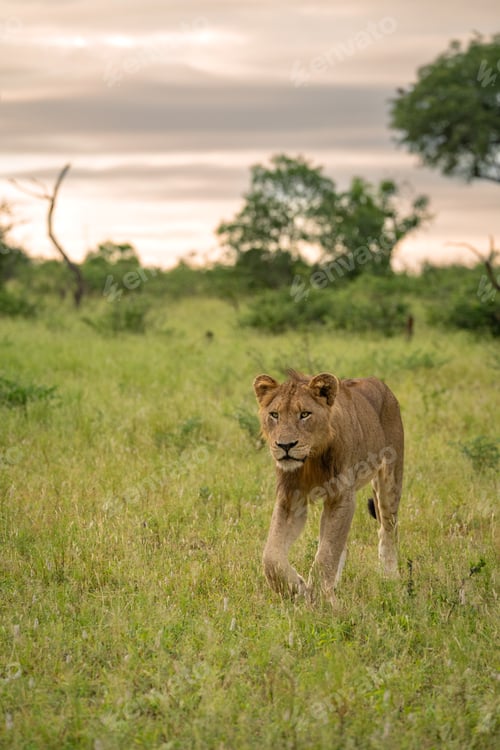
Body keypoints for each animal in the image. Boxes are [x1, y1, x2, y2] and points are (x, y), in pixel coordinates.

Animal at [253, 369, 404, 604]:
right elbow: (272, 557)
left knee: (387, 528)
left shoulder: (341, 497)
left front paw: (320, 600)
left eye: (305, 414)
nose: (285, 445)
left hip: (390, 477)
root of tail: (379, 383)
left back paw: (390, 577)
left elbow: (327, 553)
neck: (311, 459)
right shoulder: (289, 499)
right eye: (274, 415)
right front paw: (297, 588)